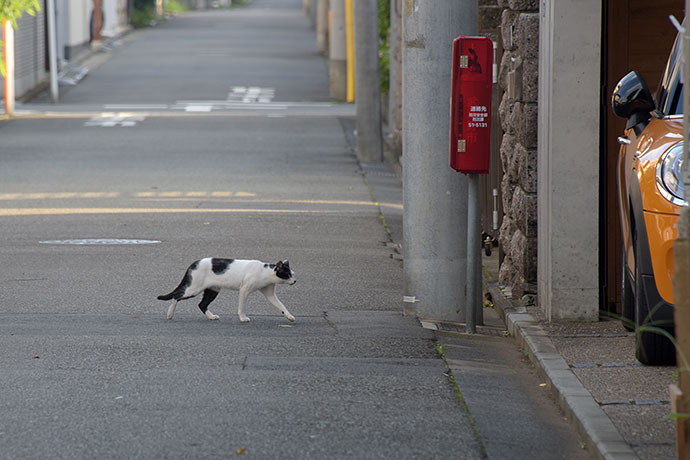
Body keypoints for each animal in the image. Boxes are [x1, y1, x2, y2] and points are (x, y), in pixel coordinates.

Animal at [157, 258, 294, 324]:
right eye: (288, 275)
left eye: (292, 274)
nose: (295, 281)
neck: (265, 273)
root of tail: (194, 263)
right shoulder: (244, 290)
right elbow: (242, 307)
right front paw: (243, 318)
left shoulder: (270, 293)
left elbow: (281, 306)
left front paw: (289, 316)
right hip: (193, 289)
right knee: (176, 296)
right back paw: (169, 314)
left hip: (213, 290)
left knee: (201, 304)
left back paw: (212, 317)